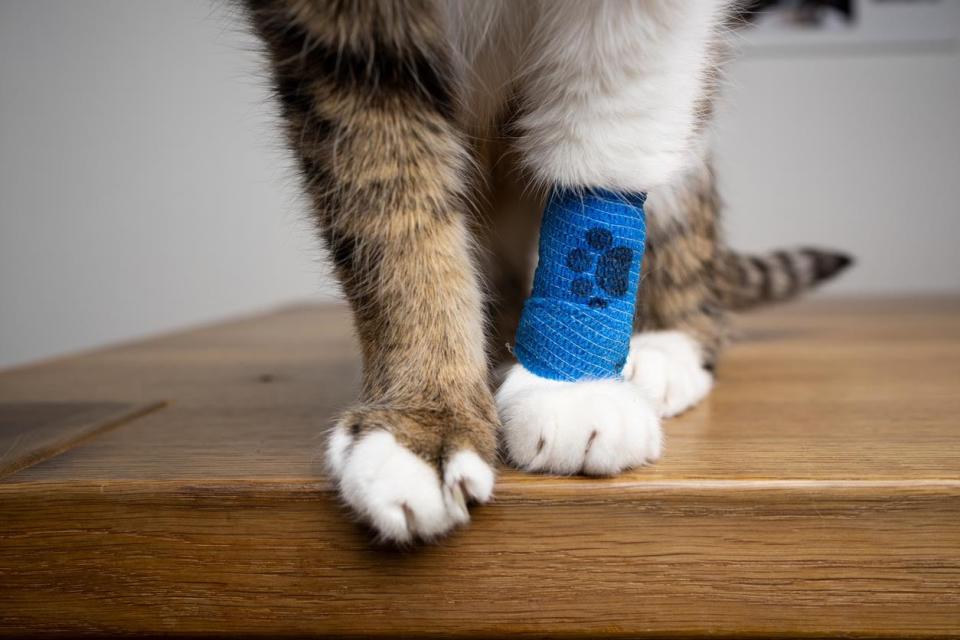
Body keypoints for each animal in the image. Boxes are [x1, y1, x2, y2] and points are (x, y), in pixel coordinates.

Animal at [240, 0, 848, 544]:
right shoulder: (341, 44)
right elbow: (391, 218)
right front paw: (424, 420)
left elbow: (604, 143)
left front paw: (570, 388)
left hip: (689, 132)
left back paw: (661, 349)